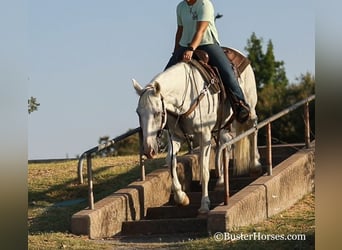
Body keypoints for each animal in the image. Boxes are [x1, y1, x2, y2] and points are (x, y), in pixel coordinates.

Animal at [134, 59, 262, 213]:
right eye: (138, 113)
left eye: (157, 112)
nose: (149, 150)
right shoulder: (176, 137)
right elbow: (170, 161)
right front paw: (181, 197)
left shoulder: (204, 136)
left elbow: (204, 171)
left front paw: (205, 204)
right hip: (220, 127)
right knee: (223, 144)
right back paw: (220, 181)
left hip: (250, 108)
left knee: (253, 129)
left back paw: (255, 165)